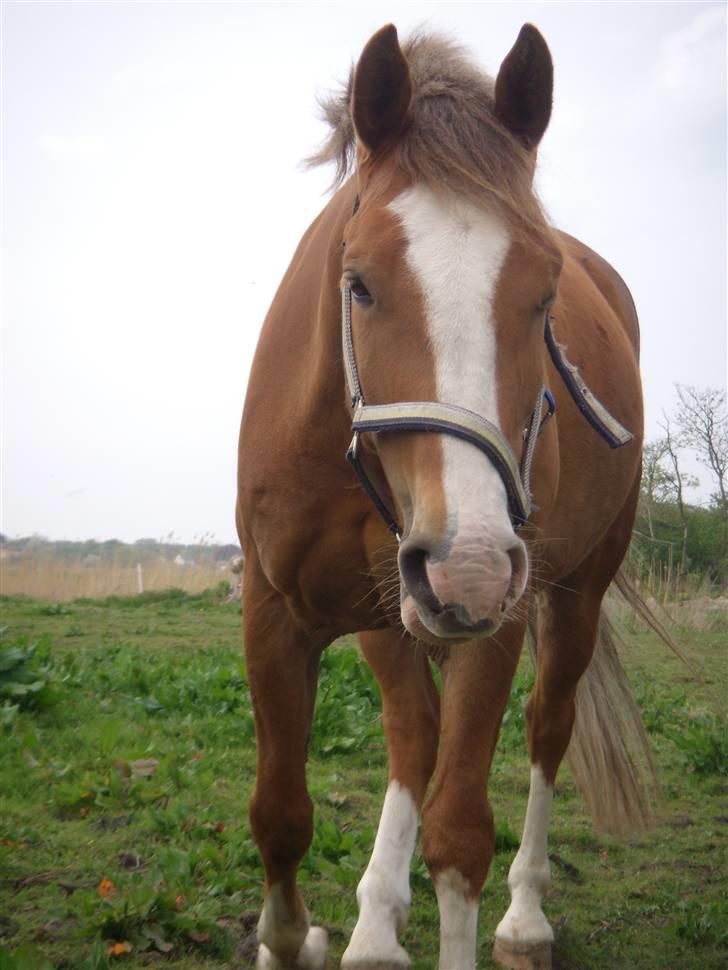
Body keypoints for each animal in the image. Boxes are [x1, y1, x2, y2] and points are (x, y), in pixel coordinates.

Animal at [236, 22, 652, 968]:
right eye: (358, 282)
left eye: (545, 296)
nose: (465, 564)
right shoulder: (276, 611)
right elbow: (280, 816)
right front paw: (299, 940)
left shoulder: (494, 617)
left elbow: (460, 831)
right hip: (398, 609)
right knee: (412, 731)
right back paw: (373, 929)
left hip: (566, 594)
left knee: (544, 727)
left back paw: (523, 920)